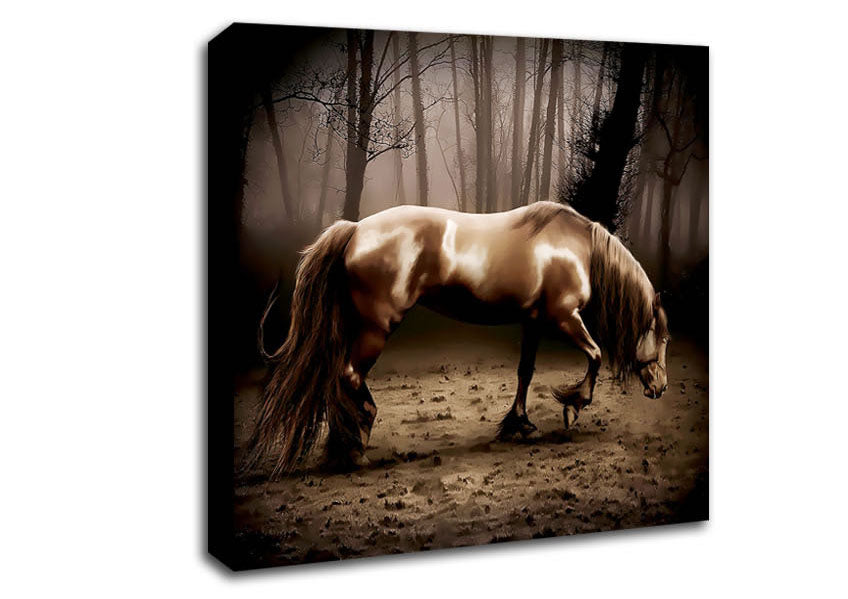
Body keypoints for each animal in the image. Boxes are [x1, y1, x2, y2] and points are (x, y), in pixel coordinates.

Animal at [246, 201, 669, 477]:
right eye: (662, 338)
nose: (661, 388)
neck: (576, 246)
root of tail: (355, 229)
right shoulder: (563, 317)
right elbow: (594, 356)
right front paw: (573, 405)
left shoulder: (533, 321)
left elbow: (526, 371)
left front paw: (519, 424)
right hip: (376, 327)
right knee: (348, 375)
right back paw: (355, 445)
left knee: (339, 377)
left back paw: (345, 444)